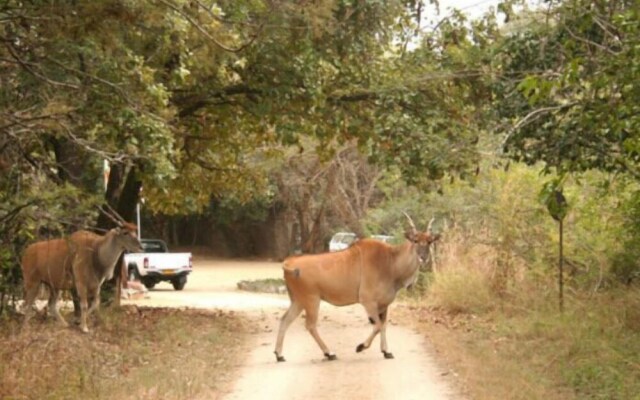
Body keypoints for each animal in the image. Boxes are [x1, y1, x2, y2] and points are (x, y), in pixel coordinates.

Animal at [272, 212, 438, 362]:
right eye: (415, 240)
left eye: (429, 241)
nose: (423, 258)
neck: (390, 262)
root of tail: (289, 263)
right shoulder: (368, 301)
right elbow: (378, 326)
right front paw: (360, 347)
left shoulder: (383, 305)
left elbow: (383, 325)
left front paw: (387, 352)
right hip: (311, 300)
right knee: (310, 325)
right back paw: (329, 353)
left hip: (298, 301)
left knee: (285, 320)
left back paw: (279, 355)